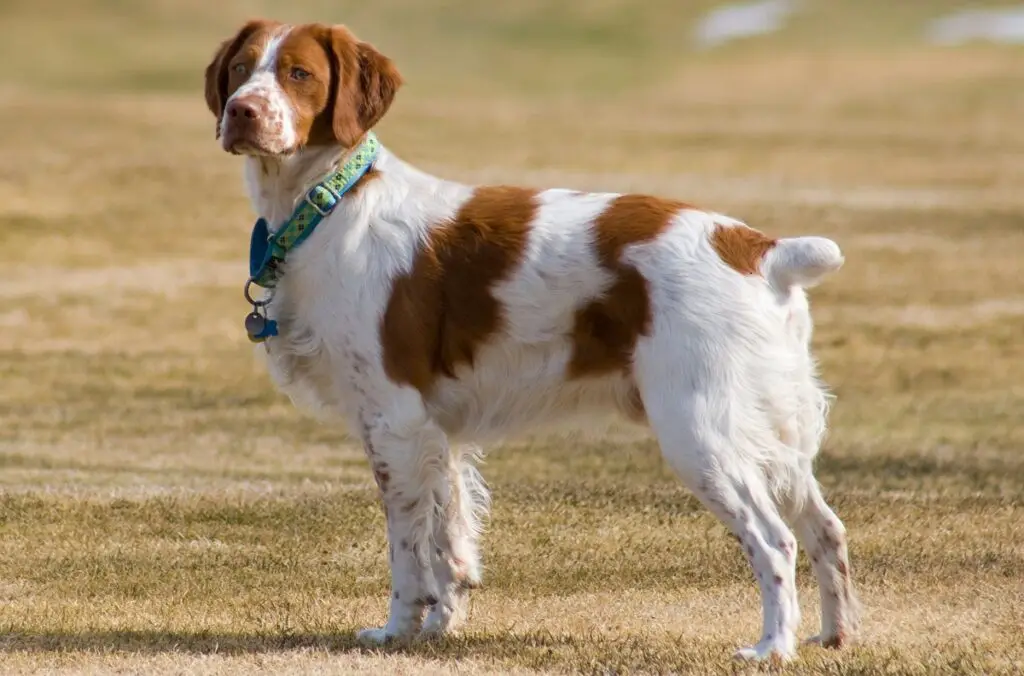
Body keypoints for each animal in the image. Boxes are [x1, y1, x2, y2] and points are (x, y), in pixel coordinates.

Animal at [203, 19, 860, 659]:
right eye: (241, 67)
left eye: (298, 74)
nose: (241, 111)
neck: (330, 204)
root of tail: (761, 249)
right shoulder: (437, 433)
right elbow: (450, 541)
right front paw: (439, 629)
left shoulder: (394, 421)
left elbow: (408, 550)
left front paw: (396, 632)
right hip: (773, 431)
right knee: (826, 528)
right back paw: (834, 636)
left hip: (700, 430)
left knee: (775, 541)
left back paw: (772, 647)